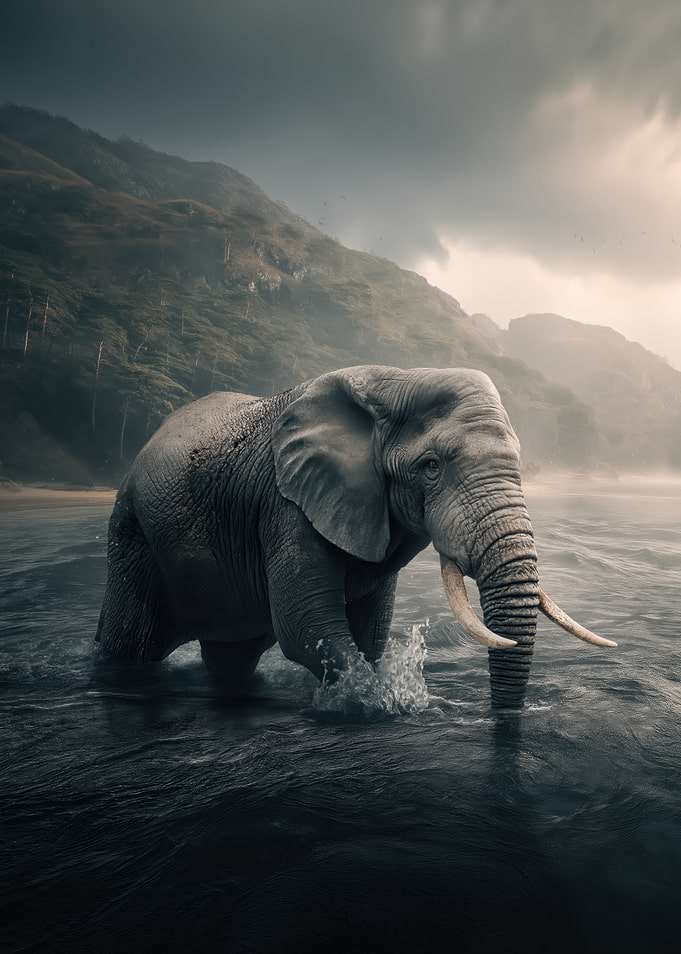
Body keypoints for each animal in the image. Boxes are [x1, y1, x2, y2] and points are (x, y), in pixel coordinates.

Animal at [96, 365, 616, 707]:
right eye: (431, 467)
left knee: (232, 658)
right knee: (130, 645)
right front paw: (382, 702)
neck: (395, 379)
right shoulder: (285, 505)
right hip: (131, 533)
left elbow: (368, 631)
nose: (503, 722)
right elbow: (309, 630)